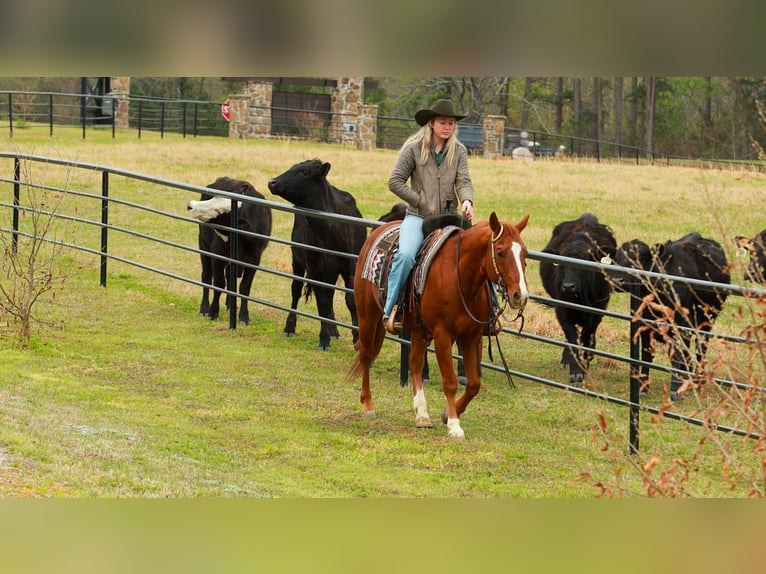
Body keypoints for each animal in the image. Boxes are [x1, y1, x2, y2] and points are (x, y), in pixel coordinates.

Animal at [347, 211, 530, 439]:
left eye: (525, 253)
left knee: (415, 365)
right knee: (366, 355)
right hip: (367, 315)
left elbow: (474, 384)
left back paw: (422, 415)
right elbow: (450, 382)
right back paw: (367, 406)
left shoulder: (472, 336)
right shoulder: (443, 335)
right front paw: (454, 425)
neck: (458, 275)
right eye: (500, 252)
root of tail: (378, 231)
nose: (520, 296)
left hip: (418, 330)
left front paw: (447, 414)